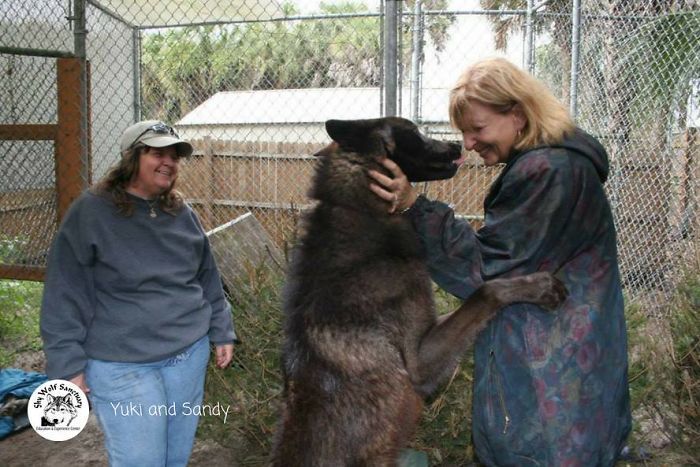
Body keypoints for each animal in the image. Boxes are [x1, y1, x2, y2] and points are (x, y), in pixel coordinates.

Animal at [270, 118, 568, 467]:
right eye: (413, 132)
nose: (457, 144)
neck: (363, 211)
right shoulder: (418, 365)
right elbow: (486, 291)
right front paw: (540, 287)